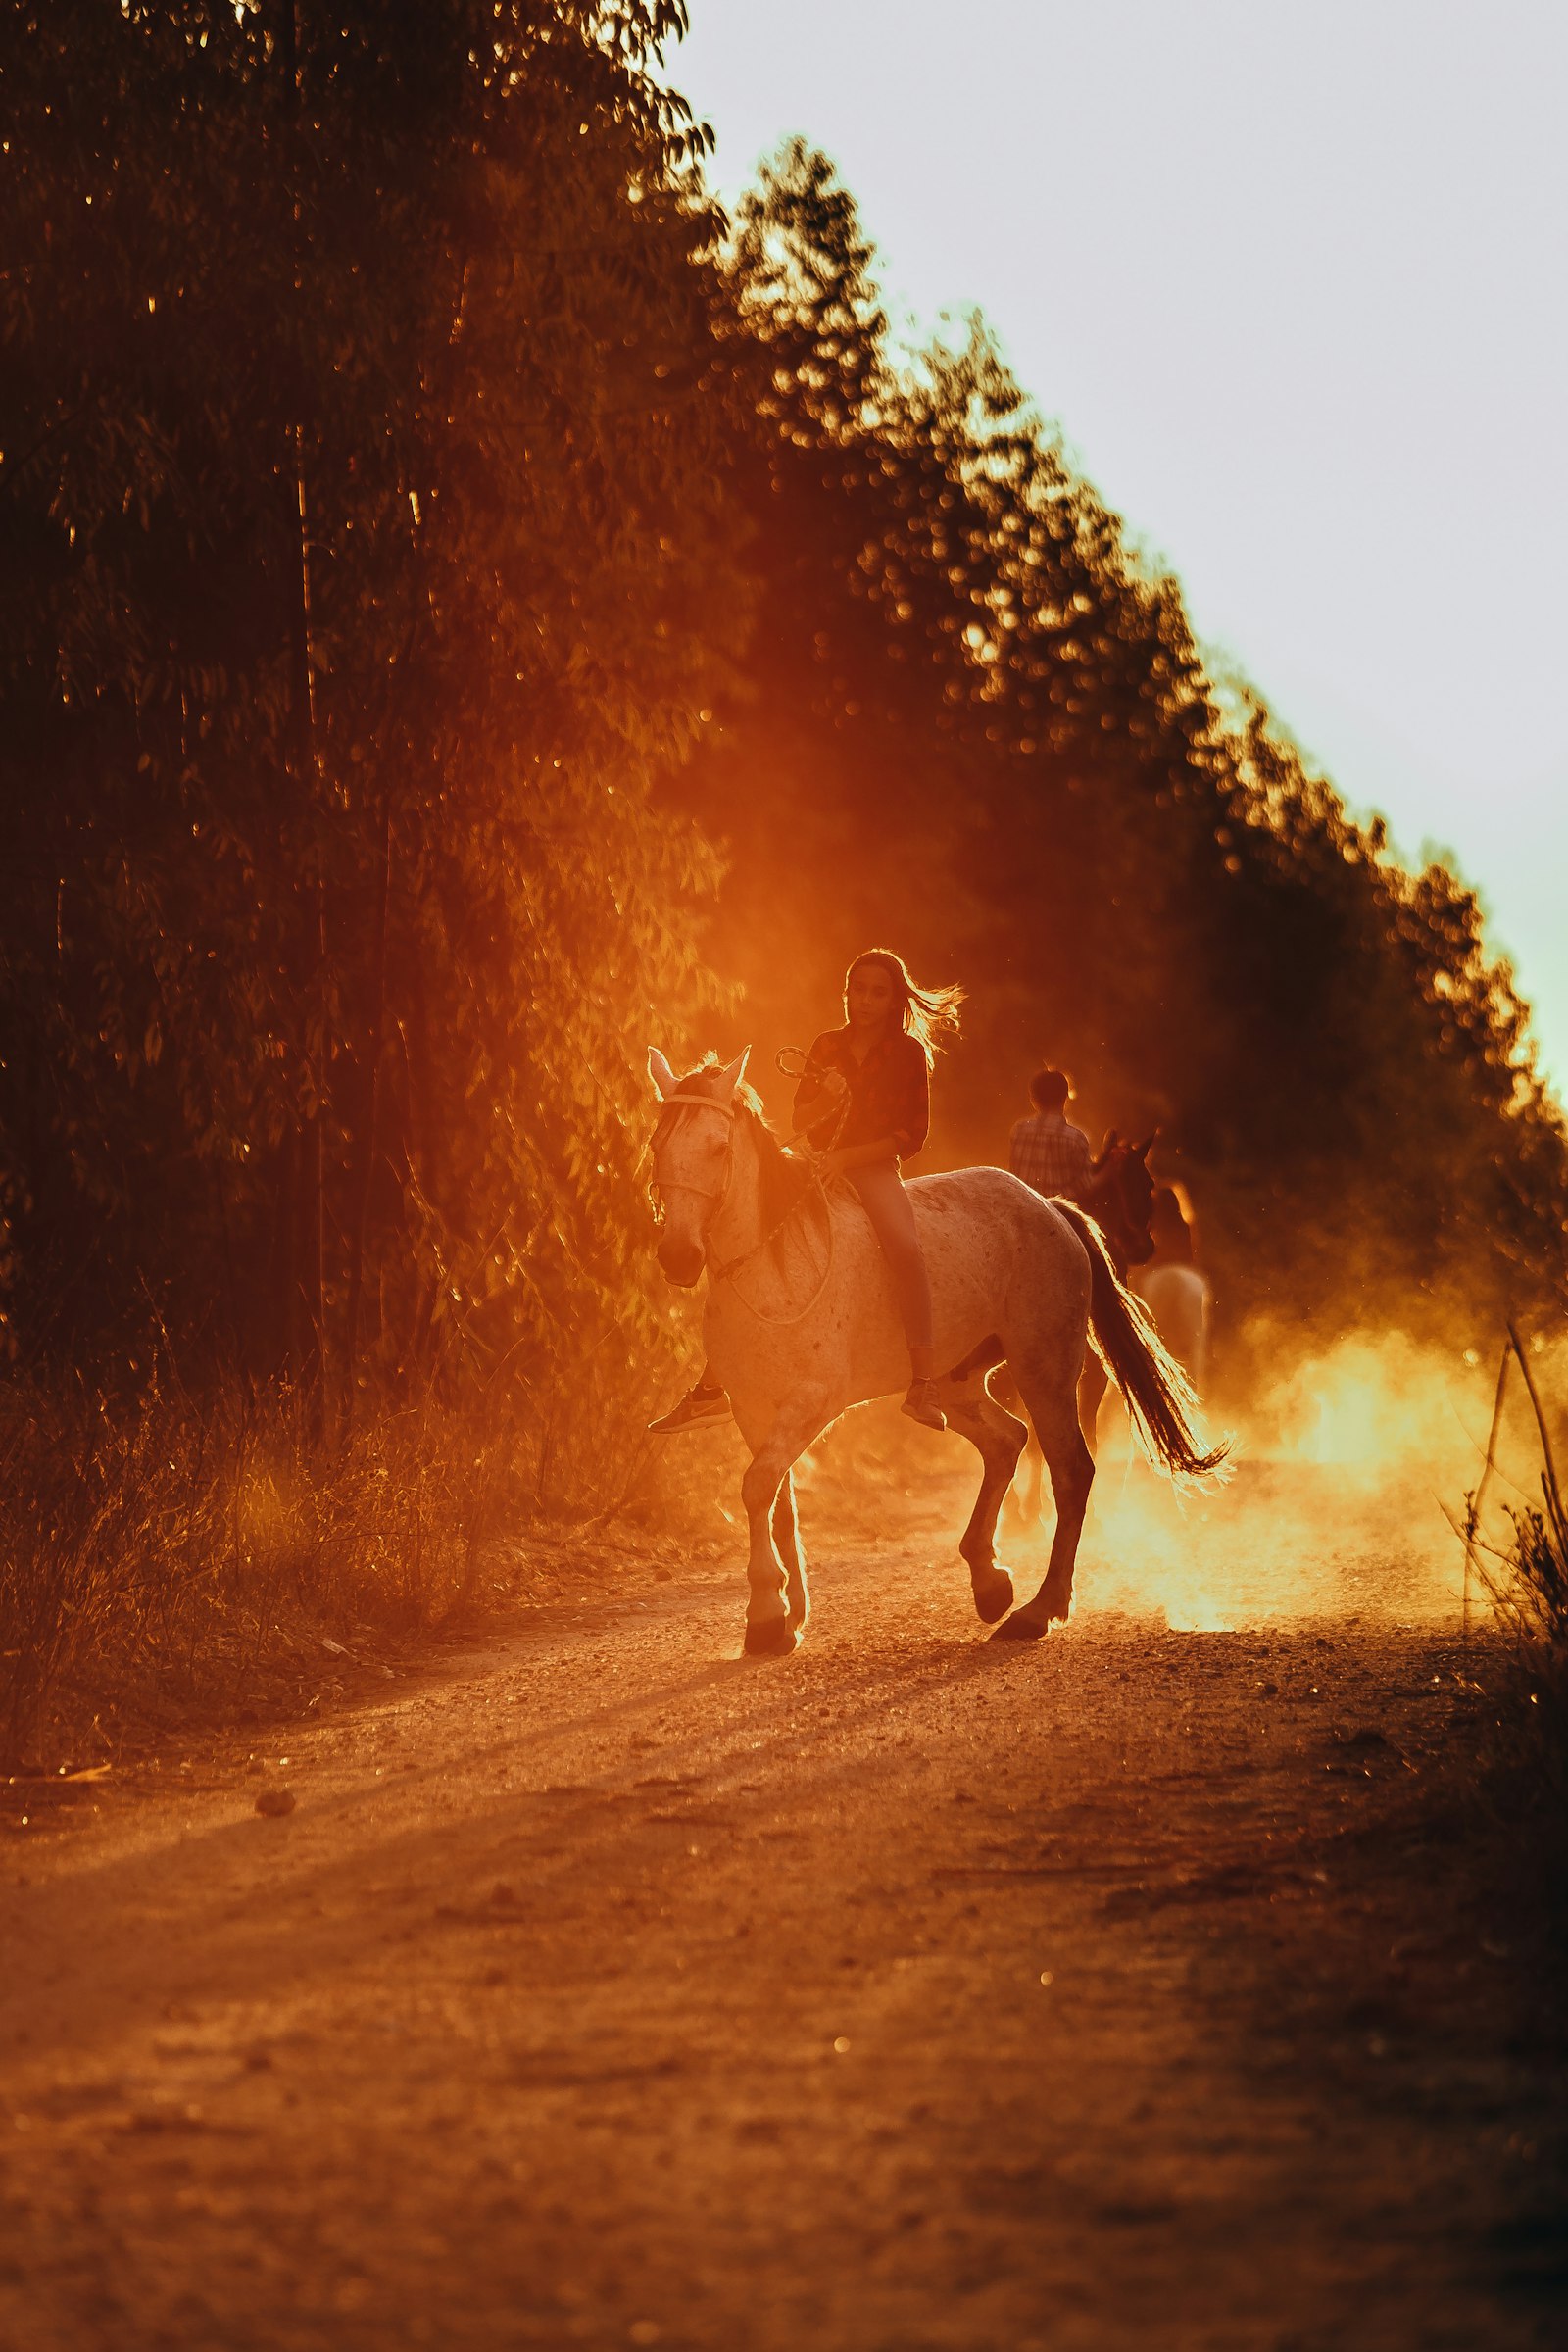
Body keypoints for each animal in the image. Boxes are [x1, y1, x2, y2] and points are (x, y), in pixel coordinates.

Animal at [644, 1049, 1222, 1655]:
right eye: (658, 1145)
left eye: (718, 1147)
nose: (678, 1256)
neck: (771, 1267)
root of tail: (1048, 1208)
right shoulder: (753, 1409)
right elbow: (777, 1503)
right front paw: (786, 1616)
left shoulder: (811, 1403)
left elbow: (758, 1487)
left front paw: (765, 1615)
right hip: (959, 1382)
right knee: (1007, 1441)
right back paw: (991, 1583)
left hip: (1044, 1368)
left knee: (1070, 1470)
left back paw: (1038, 1610)